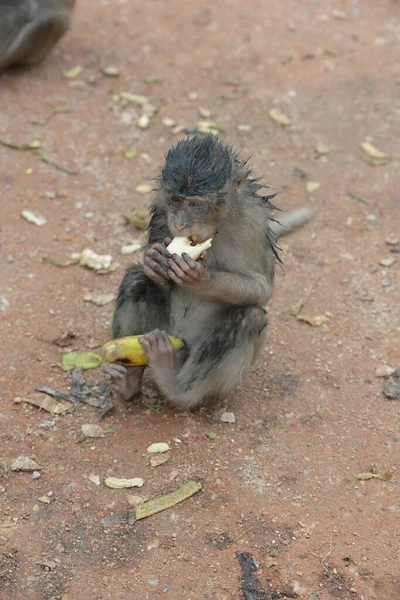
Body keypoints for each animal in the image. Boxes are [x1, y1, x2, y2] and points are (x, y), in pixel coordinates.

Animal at [104, 134, 316, 410]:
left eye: (196, 204)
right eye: (176, 201)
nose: (180, 224)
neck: (217, 225)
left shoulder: (253, 224)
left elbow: (262, 289)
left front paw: (200, 278)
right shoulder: (161, 205)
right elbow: (150, 262)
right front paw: (154, 259)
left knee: (250, 319)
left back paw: (174, 386)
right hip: (162, 330)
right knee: (136, 279)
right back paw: (129, 380)